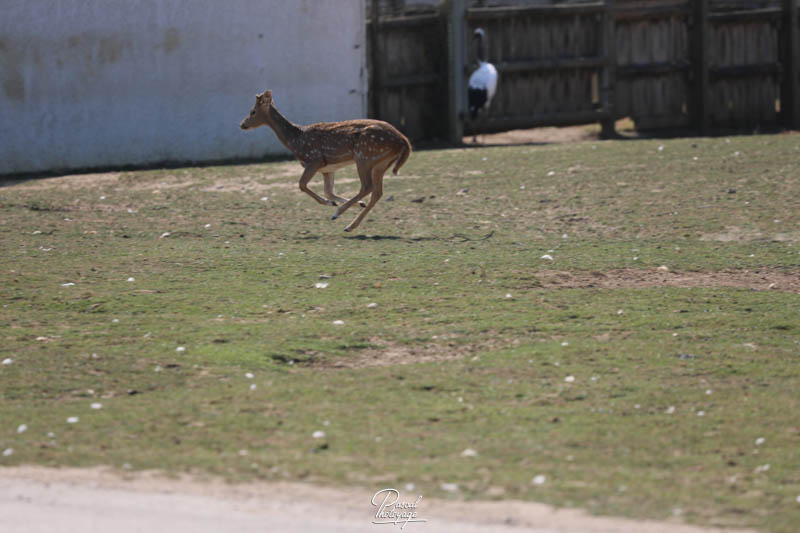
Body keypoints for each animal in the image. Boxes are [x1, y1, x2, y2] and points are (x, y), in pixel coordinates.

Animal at [239, 89, 412, 231]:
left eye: (253, 111)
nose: (242, 124)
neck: (295, 140)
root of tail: (403, 141)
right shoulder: (328, 169)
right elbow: (328, 192)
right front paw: (349, 203)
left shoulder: (314, 160)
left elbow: (302, 185)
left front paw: (332, 204)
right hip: (381, 163)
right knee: (377, 192)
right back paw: (350, 226)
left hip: (365, 156)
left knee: (367, 187)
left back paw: (338, 214)